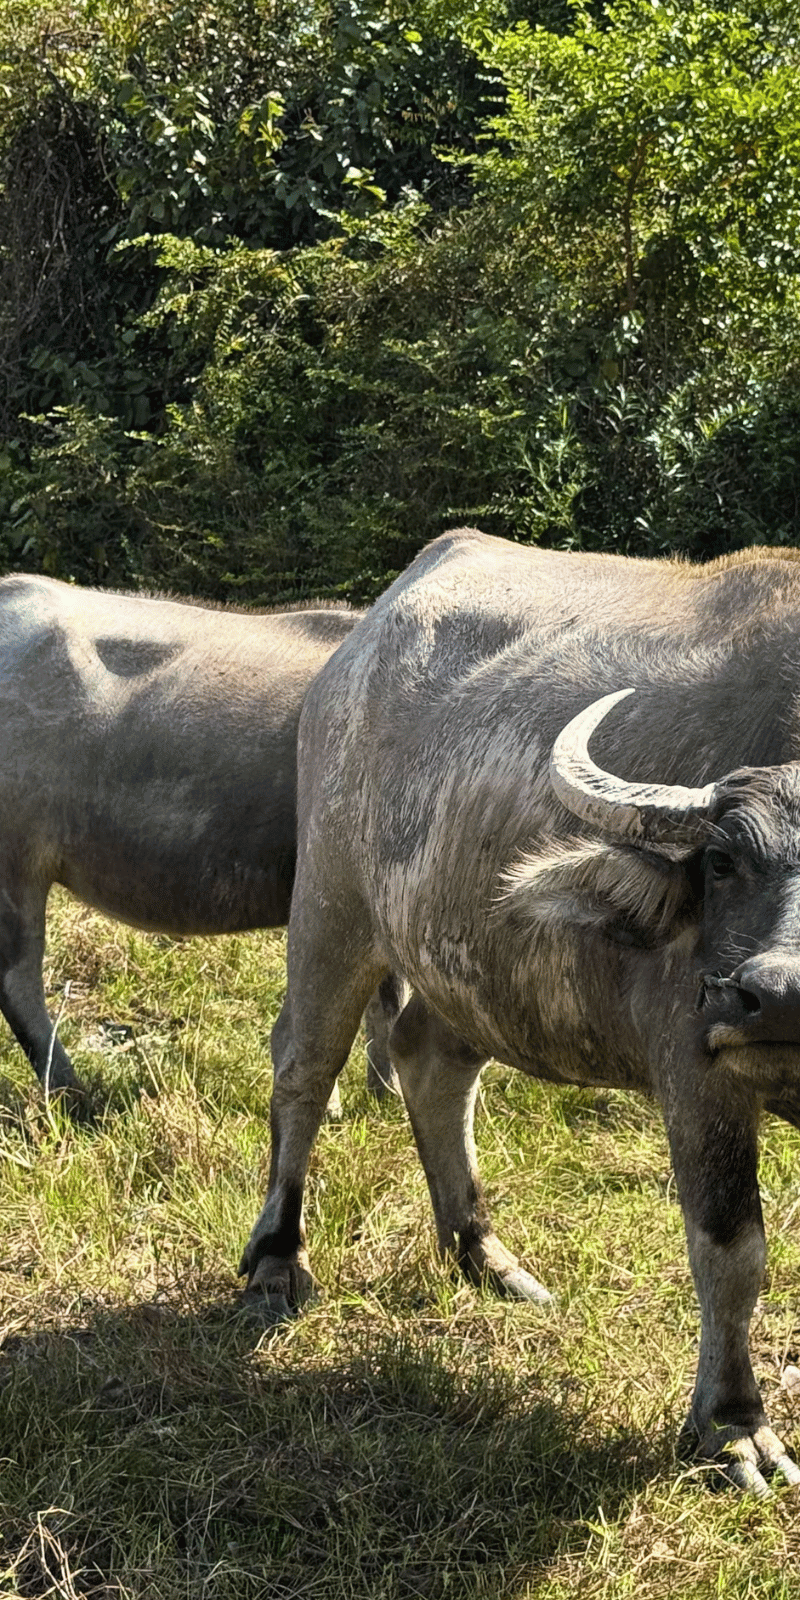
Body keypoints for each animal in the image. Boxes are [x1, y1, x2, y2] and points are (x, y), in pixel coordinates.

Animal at [240, 528, 800, 1496]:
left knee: (429, 1061)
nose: (776, 996)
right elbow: (733, 1251)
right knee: (303, 1070)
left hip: (472, 970)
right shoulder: (697, 1070)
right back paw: (278, 1260)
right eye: (725, 860)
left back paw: (484, 1254)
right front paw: (734, 1427)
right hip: (332, 906)